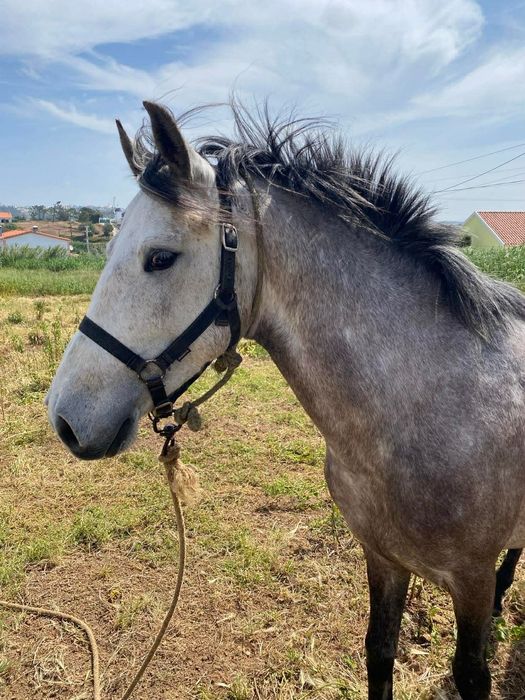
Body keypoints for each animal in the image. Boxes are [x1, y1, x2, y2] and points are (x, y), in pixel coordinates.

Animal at [46, 101, 524, 699]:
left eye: (159, 258)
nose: (64, 420)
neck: (426, 409)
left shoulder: (470, 579)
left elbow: (471, 673)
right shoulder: (382, 559)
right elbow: (379, 651)